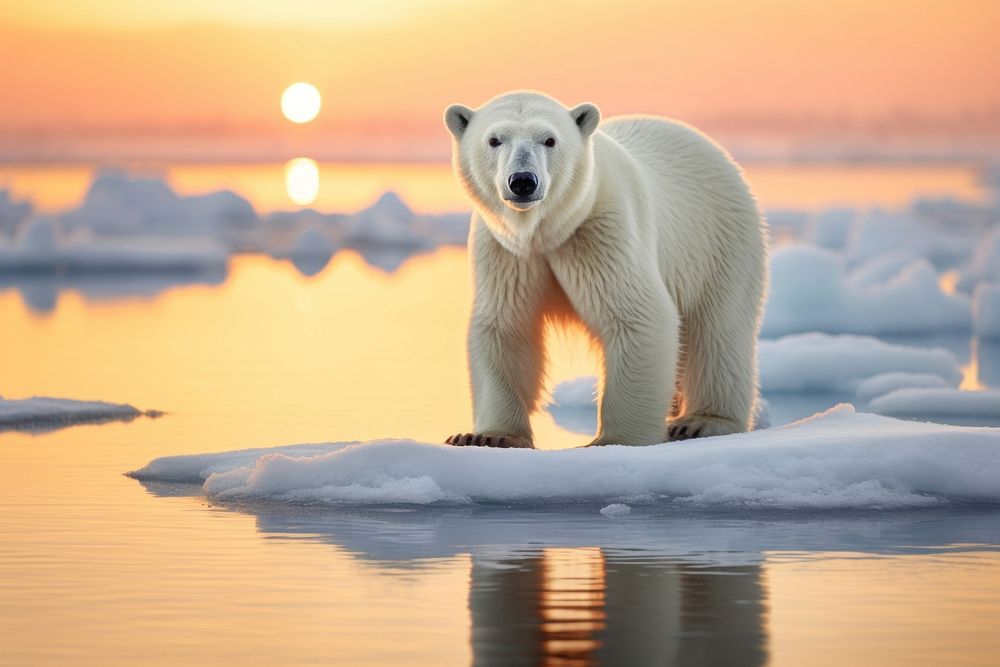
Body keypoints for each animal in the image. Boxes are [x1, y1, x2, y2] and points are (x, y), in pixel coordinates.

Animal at [444, 91, 764, 448]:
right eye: (494, 139)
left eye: (549, 139)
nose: (523, 181)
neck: (546, 232)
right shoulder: (505, 252)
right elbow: (505, 326)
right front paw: (486, 436)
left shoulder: (604, 230)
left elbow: (636, 316)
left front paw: (614, 440)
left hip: (718, 241)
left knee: (718, 329)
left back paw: (701, 421)